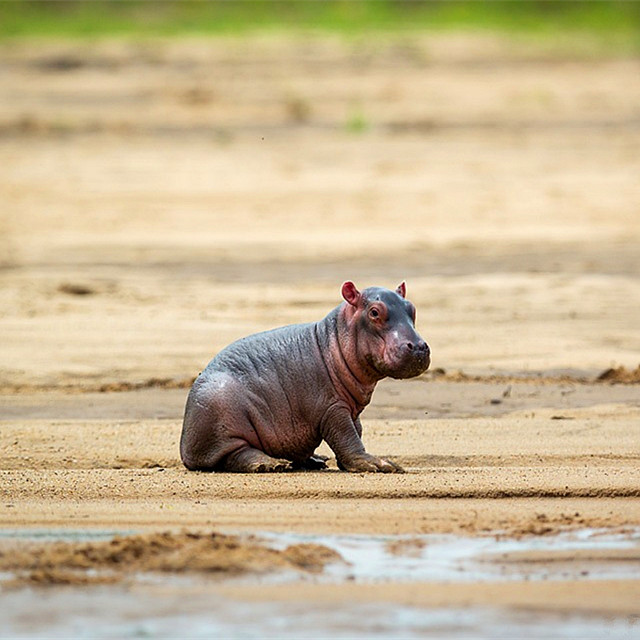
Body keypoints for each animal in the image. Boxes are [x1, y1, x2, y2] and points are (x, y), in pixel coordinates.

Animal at [180, 282, 430, 472]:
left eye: (412, 308)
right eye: (375, 312)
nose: (418, 347)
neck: (333, 339)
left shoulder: (351, 408)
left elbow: (355, 431)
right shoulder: (332, 408)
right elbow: (347, 436)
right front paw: (381, 464)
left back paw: (315, 460)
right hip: (220, 414)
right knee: (235, 454)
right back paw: (270, 464)